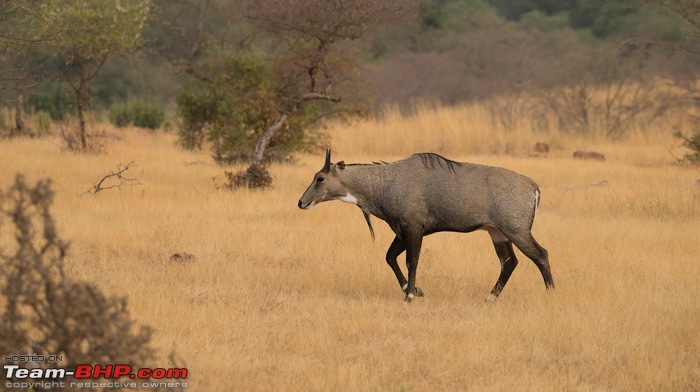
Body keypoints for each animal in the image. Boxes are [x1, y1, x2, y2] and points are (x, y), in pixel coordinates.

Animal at [298, 151, 556, 304]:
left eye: (320, 178)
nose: (301, 202)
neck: (385, 182)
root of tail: (533, 187)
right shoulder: (402, 231)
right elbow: (390, 257)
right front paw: (413, 290)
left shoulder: (413, 228)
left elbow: (411, 261)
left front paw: (410, 295)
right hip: (497, 233)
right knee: (509, 262)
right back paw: (490, 298)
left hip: (517, 231)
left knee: (540, 254)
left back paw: (550, 293)